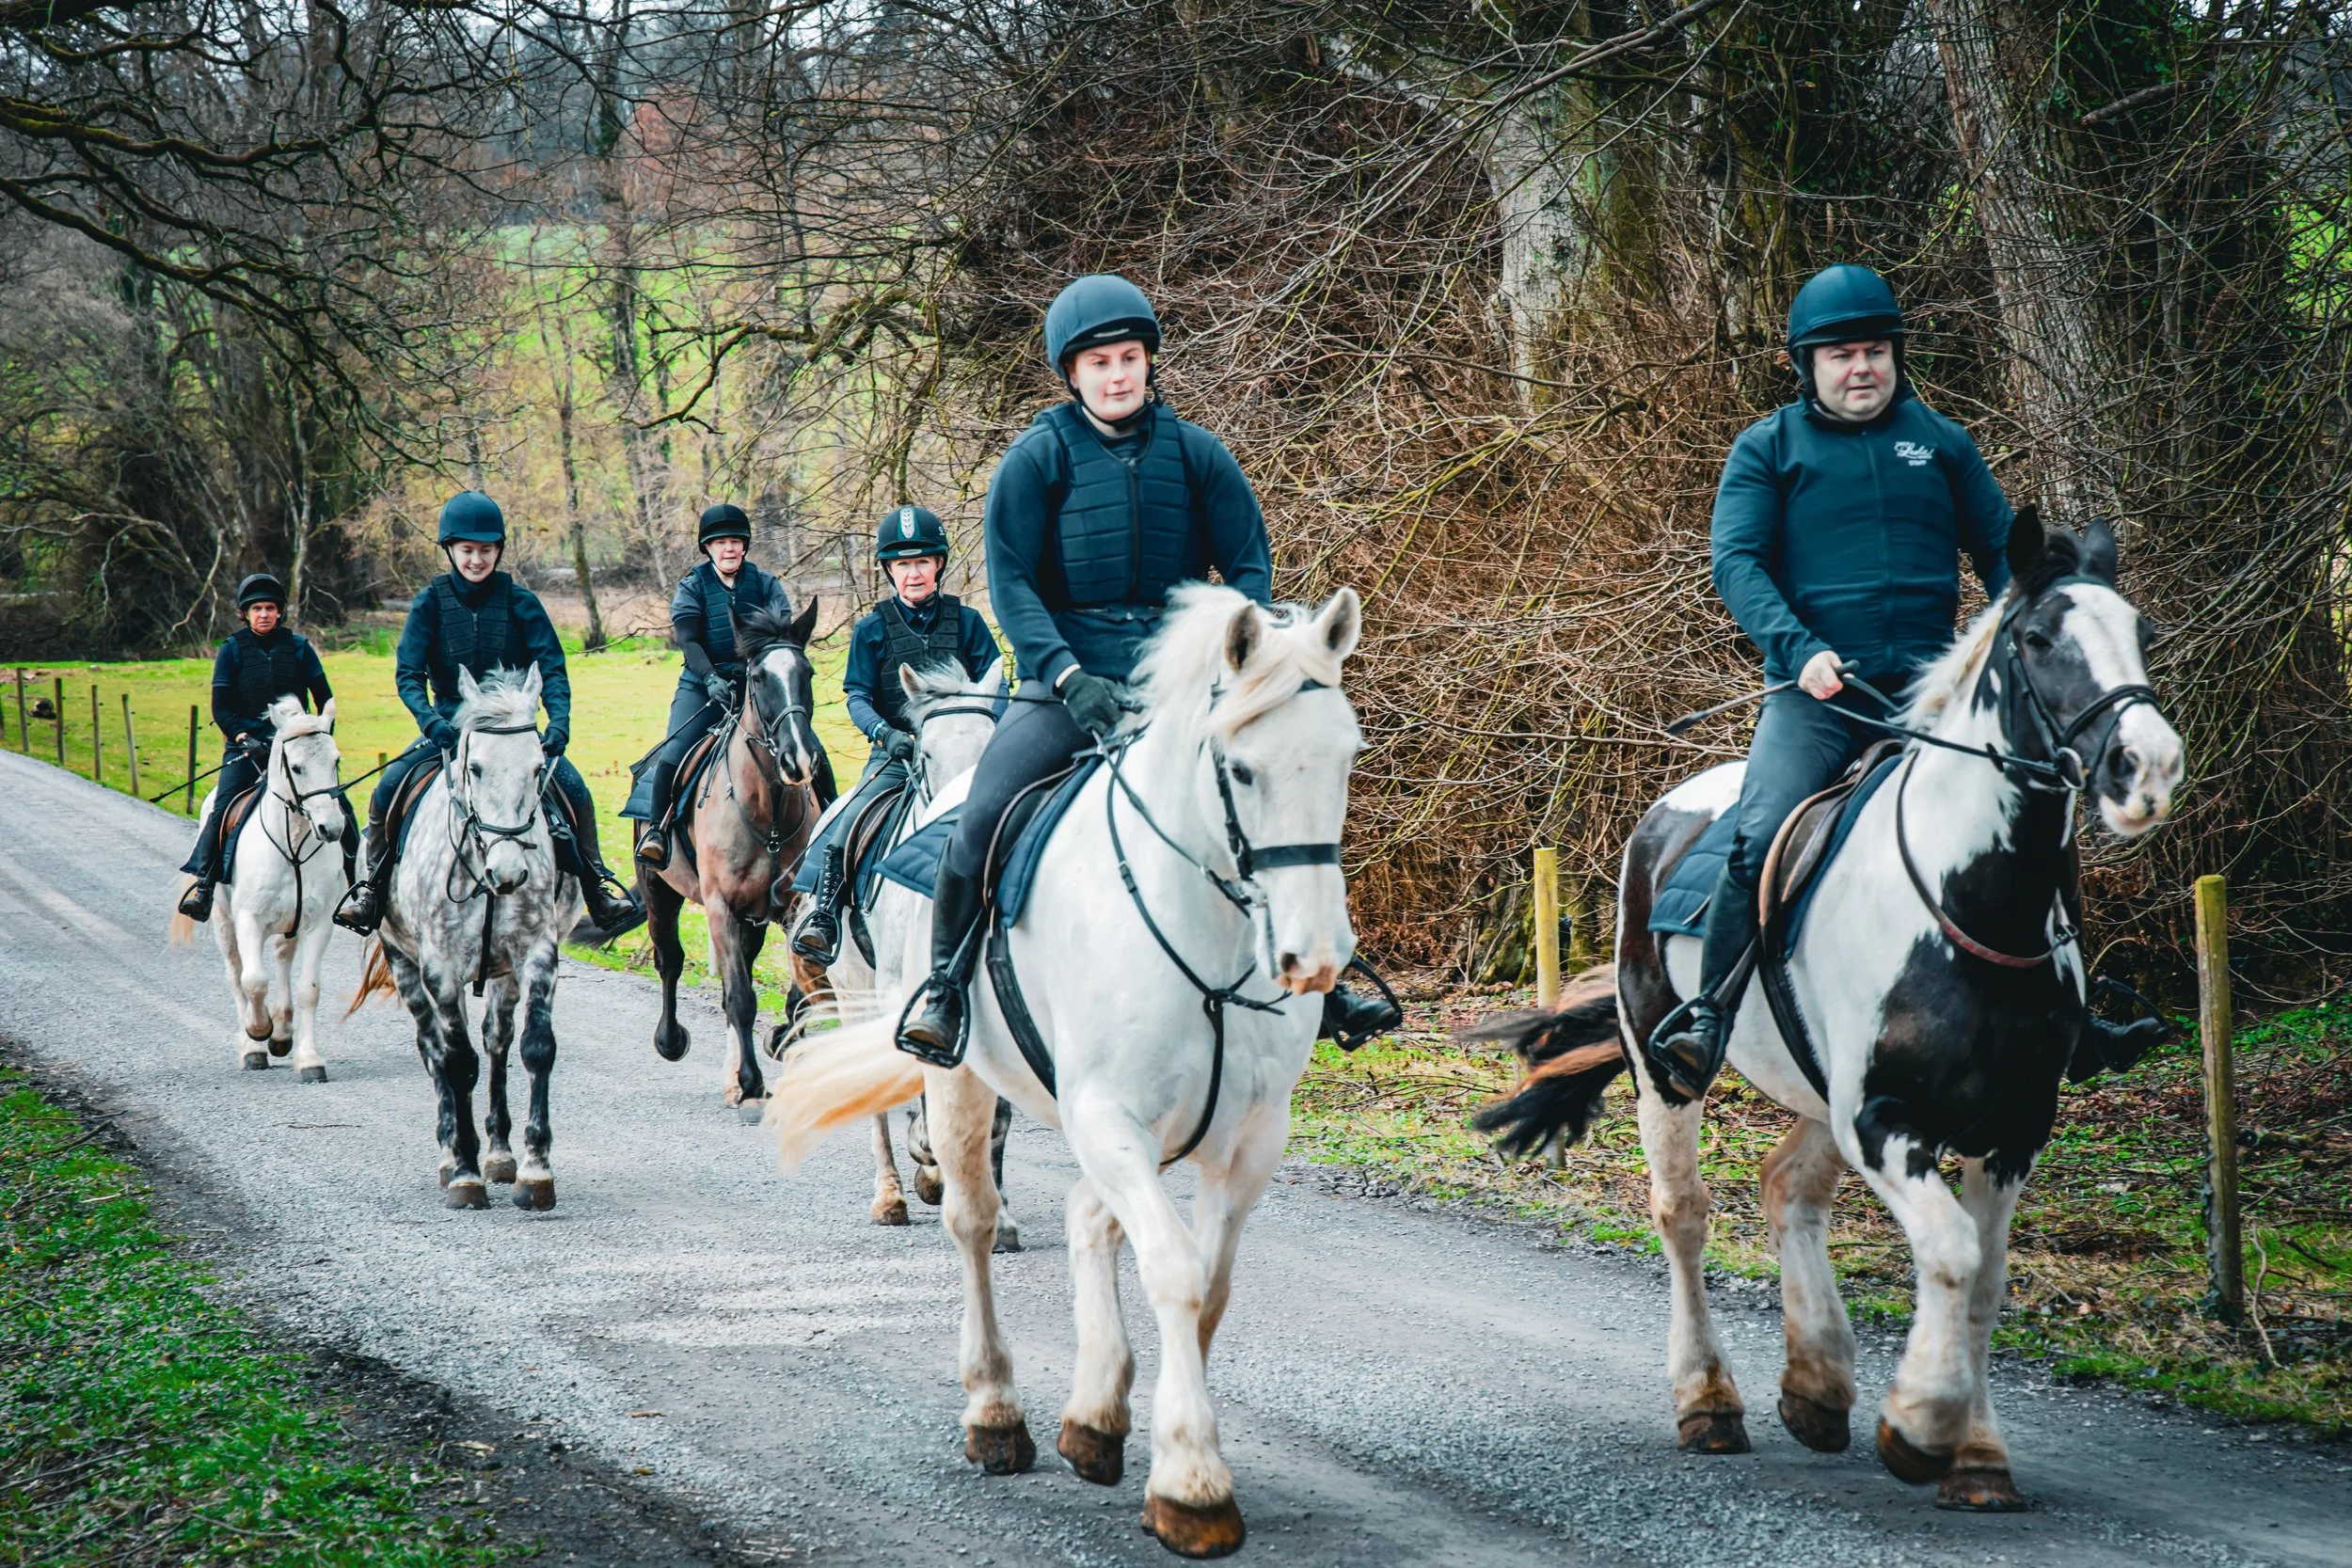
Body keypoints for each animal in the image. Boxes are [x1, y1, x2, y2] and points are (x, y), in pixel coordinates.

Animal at [170, 696, 348, 1081]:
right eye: (296, 767)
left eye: (336, 760)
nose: (331, 829)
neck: (292, 843)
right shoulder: (249, 920)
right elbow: (253, 981)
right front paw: (258, 1031)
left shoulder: (317, 923)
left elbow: (308, 989)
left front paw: (308, 1059)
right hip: (225, 922)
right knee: (236, 974)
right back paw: (255, 1045)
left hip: (289, 923)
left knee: (281, 958)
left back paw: (282, 1033)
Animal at [350, 666, 579, 1210]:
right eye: (474, 768)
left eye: (538, 768)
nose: (509, 872)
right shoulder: (440, 966)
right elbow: (457, 1063)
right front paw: (465, 1173)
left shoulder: (537, 954)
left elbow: (536, 1047)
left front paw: (535, 1172)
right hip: (403, 961)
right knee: (432, 1047)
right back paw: (449, 1154)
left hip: (503, 973)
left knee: (497, 1039)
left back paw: (499, 1154)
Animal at [640, 599, 826, 1111]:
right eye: (758, 677)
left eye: (806, 671)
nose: (799, 760)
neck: (769, 815)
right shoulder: (720, 906)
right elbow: (741, 997)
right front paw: (749, 1080)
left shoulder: (789, 908)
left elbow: (790, 998)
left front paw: (775, 1044)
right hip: (659, 890)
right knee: (670, 961)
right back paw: (672, 1041)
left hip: (753, 919)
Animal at [782, 663, 1020, 1240]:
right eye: (926, 754)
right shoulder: (898, 996)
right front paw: (930, 1162)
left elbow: (997, 1114)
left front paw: (1000, 1213)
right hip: (854, 996)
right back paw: (891, 1195)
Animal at [1473, 514, 2183, 1510]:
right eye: (2040, 639)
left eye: (2141, 632)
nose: (2147, 766)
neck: (1967, 904)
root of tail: (1671, 807)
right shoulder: (1884, 1118)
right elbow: (1953, 1254)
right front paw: (1921, 1423)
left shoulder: (2012, 1125)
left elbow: (1986, 1279)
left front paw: (1977, 1455)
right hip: (1670, 1069)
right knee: (1683, 1210)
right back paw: (1709, 1401)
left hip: (1818, 1091)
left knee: (1786, 1186)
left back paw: (1816, 1385)